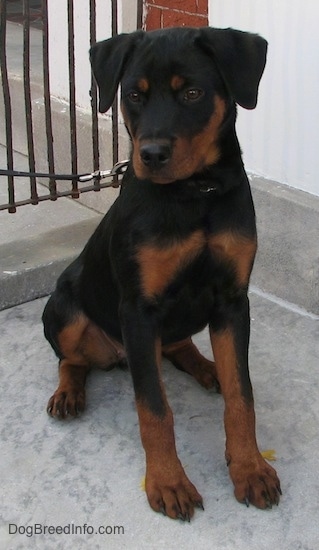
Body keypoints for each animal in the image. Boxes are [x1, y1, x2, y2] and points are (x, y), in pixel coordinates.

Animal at [42, 25, 280, 524]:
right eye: (134, 94)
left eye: (192, 92)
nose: (150, 154)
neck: (194, 194)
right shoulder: (138, 309)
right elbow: (154, 408)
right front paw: (169, 483)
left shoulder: (233, 300)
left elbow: (241, 396)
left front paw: (249, 468)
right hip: (64, 309)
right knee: (71, 359)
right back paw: (69, 394)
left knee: (178, 346)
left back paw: (207, 367)